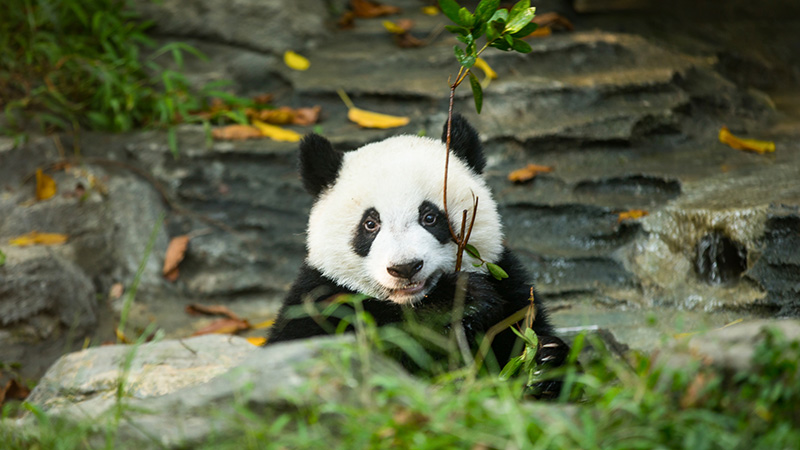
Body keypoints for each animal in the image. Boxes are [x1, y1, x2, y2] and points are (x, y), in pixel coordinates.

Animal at [267, 114, 567, 380]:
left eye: (430, 217)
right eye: (370, 224)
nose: (405, 268)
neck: (408, 302)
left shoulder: (508, 283)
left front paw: (544, 359)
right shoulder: (319, 297)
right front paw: (455, 301)